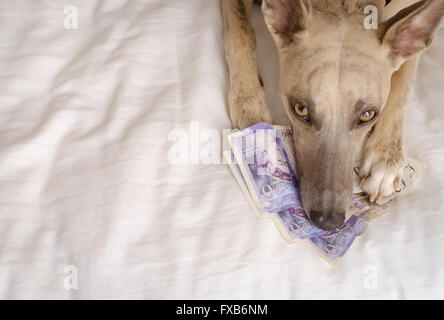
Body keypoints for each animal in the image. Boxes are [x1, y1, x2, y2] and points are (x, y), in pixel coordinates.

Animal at [222, 0, 444, 230]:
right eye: (300, 109)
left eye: (367, 115)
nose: (328, 221)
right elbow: (240, 33)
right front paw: (248, 104)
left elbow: (403, 85)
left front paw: (385, 160)